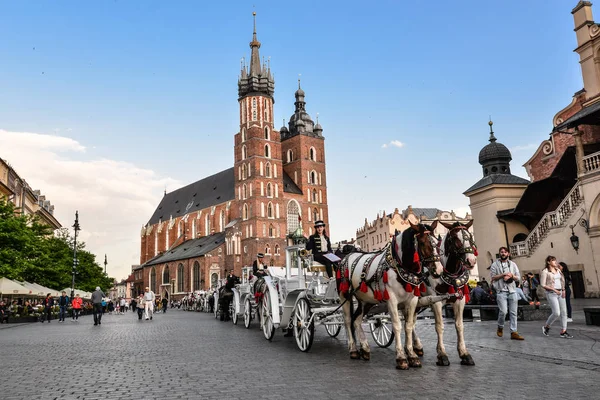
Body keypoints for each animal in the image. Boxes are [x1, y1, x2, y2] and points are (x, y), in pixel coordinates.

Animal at [340, 220, 442, 370]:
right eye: (423, 243)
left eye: (437, 242)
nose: (438, 270)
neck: (400, 266)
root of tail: (347, 256)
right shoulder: (392, 300)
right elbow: (397, 325)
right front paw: (401, 358)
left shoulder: (412, 300)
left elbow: (409, 326)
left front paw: (412, 355)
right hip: (345, 296)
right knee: (348, 320)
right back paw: (353, 349)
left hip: (365, 301)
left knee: (357, 320)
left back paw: (364, 348)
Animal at [410, 220, 476, 368]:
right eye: (455, 238)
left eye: (470, 237)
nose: (471, 261)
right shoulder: (436, 301)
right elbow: (439, 327)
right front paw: (442, 355)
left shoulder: (460, 300)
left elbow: (459, 325)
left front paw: (464, 354)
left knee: (411, 321)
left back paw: (417, 346)